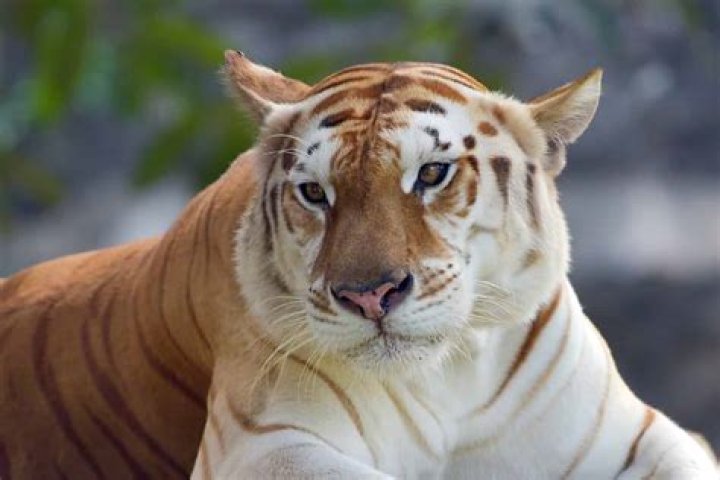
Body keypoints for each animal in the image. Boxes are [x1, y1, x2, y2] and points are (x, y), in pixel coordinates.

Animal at [0, 51, 716, 479]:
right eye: (316, 193)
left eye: (431, 174)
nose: (370, 295)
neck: (450, 378)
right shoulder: (268, 442)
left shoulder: (641, 437)